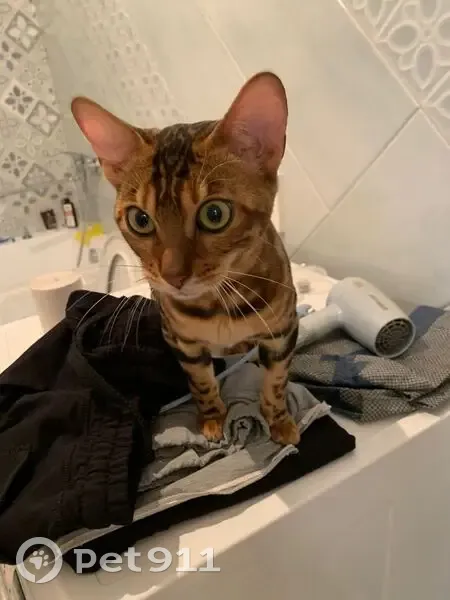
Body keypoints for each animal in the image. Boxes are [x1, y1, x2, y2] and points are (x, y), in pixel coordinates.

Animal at [71, 71, 300, 446]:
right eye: (140, 220)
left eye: (215, 214)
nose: (172, 276)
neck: (220, 306)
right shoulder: (184, 342)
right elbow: (201, 383)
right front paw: (212, 419)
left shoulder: (282, 332)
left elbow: (276, 381)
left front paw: (279, 420)